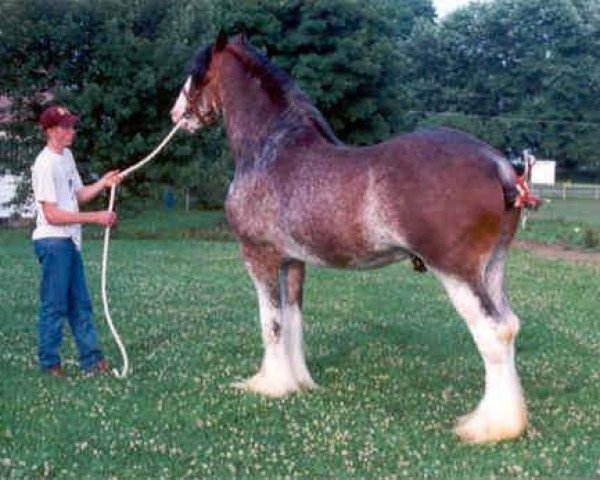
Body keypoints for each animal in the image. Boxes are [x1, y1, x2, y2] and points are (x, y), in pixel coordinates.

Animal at [169, 32, 536, 442]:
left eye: (196, 70)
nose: (175, 113)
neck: (272, 149)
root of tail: (498, 164)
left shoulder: (258, 256)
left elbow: (272, 322)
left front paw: (268, 385)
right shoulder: (293, 261)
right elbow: (293, 319)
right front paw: (297, 382)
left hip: (459, 274)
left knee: (493, 333)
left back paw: (488, 426)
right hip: (492, 270)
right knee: (509, 326)